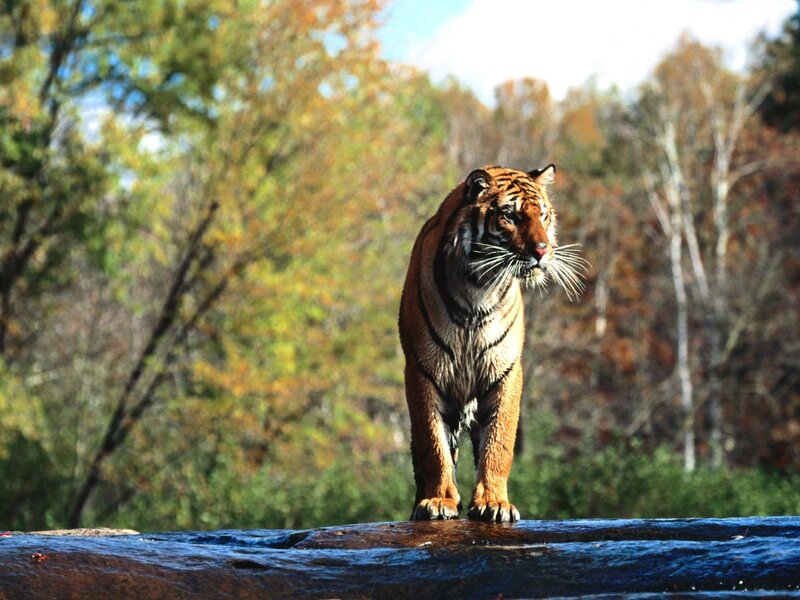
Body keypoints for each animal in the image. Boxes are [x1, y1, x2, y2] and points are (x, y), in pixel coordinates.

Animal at [398, 164, 587, 522]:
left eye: (542, 215)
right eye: (510, 216)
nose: (542, 251)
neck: (478, 288)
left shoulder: (506, 372)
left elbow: (499, 442)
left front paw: (494, 503)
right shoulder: (423, 371)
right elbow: (433, 445)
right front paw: (439, 501)